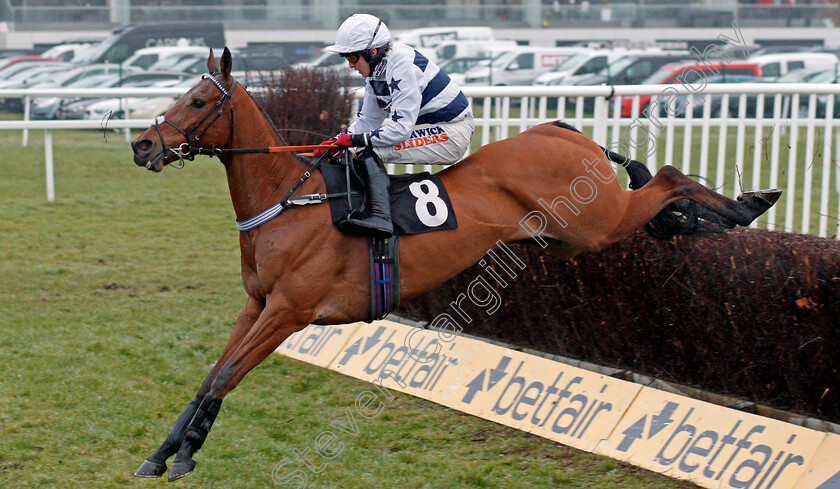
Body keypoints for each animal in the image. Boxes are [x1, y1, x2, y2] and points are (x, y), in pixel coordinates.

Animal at [128, 49, 776, 480]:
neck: (290, 202)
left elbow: (225, 377)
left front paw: (183, 456)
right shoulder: (258, 305)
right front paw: (161, 454)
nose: (142, 144)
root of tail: (564, 132)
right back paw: (706, 220)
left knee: (665, 177)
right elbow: (211, 374)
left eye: (199, 100)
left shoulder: (290, 311)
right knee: (659, 197)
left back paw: (748, 204)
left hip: (596, 222)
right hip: (570, 238)